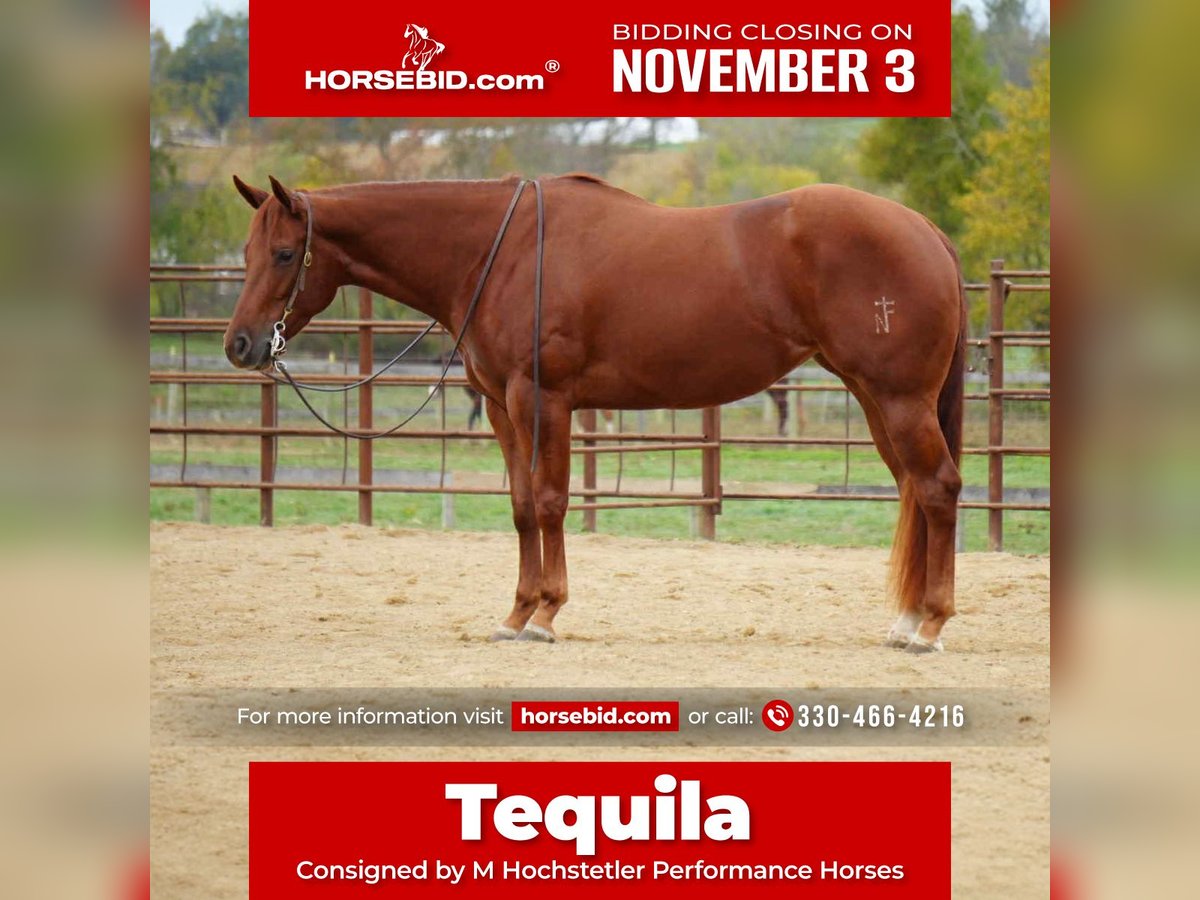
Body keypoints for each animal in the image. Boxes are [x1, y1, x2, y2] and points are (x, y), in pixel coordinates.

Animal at [224, 174, 966, 653]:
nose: (240, 345)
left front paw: (545, 615)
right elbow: (523, 505)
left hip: (898, 400)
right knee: (914, 490)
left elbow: (551, 501)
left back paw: (930, 625)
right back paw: (906, 621)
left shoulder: (542, 399)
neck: (500, 250)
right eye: (248, 252)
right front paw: (517, 613)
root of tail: (926, 229)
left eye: (285, 254)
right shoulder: (503, 408)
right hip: (875, 399)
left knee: (937, 489)